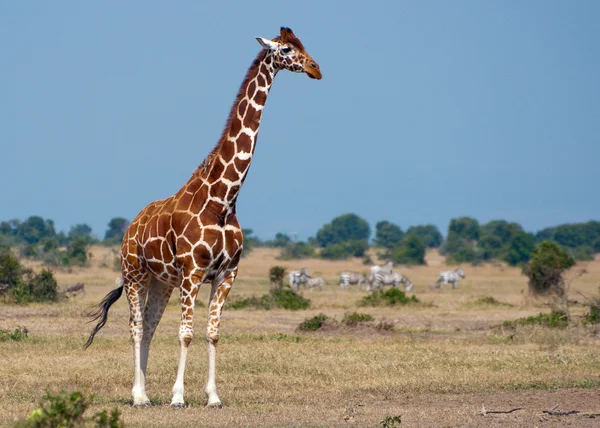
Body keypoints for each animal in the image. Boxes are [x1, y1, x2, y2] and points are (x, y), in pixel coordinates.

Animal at [84, 26, 322, 408]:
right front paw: (179, 397)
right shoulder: (193, 272)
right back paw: (137, 396)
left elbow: (212, 334)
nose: (316, 68)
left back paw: (145, 393)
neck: (223, 201)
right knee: (136, 327)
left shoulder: (226, 274)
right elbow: (186, 334)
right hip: (134, 274)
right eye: (286, 49)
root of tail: (130, 228)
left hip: (161, 282)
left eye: (303, 45)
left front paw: (213, 396)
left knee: (149, 328)